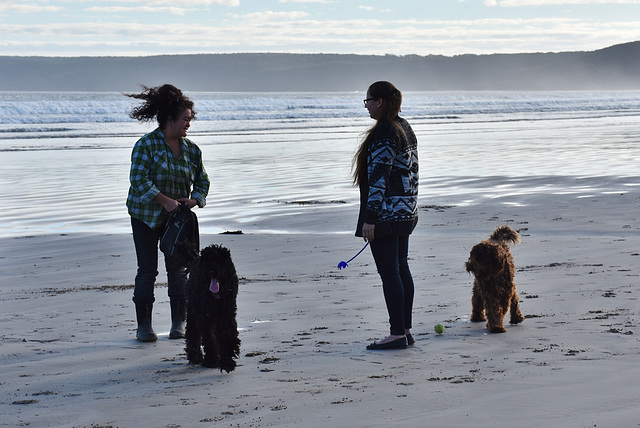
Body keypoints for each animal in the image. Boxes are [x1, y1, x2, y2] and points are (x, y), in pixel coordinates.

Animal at [188, 244, 242, 372]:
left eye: (219, 260)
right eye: (207, 260)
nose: (211, 271)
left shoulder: (226, 314)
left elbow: (227, 335)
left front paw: (227, 362)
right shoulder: (203, 316)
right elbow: (209, 338)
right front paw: (212, 360)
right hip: (192, 311)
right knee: (192, 332)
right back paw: (195, 356)